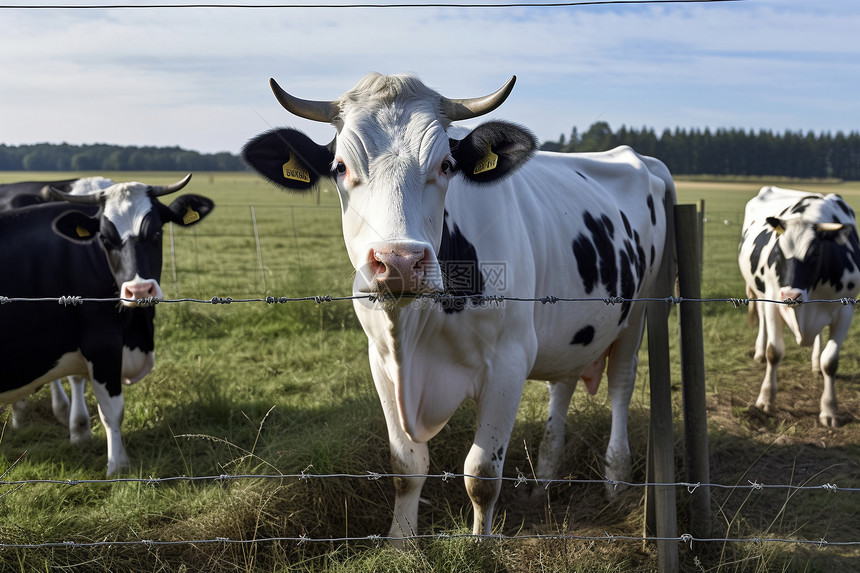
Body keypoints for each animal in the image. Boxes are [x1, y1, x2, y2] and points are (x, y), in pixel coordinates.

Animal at [0, 175, 214, 474]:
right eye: (104, 238)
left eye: (156, 232)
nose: (139, 290)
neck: (136, 332)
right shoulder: (101, 345)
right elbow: (112, 410)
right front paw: (117, 466)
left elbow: (77, 379)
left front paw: (79, 431)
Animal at [244, 72, 680, 540]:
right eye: (340, 167)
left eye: (446, 165)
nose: (399, 262)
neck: (413, 335)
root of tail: (638, 158)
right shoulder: (381, 362)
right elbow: (406, 466)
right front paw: (401, 541)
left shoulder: (508, 364)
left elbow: (481, 474)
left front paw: (480, 542)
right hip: (569, 329)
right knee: (561, 386)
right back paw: (543, 482)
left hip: (640, 311)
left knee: (620, 384)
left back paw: (616, 480)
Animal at [740, 185, 860, 426]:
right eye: (777, 251)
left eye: (815, 252)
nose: (790, 294)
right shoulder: (773, 300)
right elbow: (774, 352)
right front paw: (765, 399)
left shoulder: (846, 309)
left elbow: (830, 361)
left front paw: (829, 410)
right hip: (759, 292)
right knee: (762, 320)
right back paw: (758, 352)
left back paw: (814, 364)